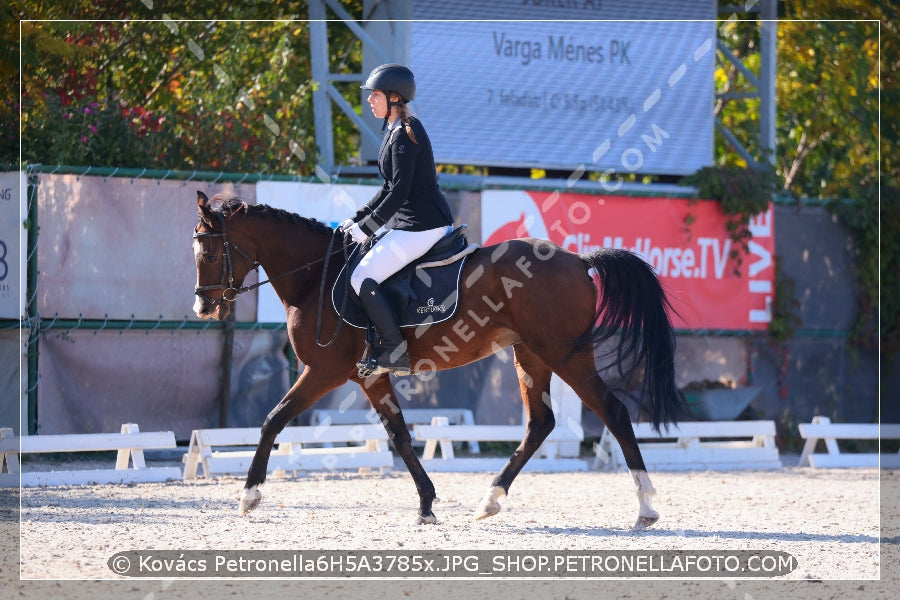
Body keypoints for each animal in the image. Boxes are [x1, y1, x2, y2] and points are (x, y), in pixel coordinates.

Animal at [192, 190, 684, 528]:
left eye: (211, 252)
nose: (202, 307)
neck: (316, 276)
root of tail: (580, 261)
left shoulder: (324, 372)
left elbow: (273, 419)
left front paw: (249, 496)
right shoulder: (370, 377)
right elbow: (400, 436)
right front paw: (427, 504)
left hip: (566, 354)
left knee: (614, 412)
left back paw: (646, 507)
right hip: (530, 355)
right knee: (540, 424)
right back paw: (490, 500)